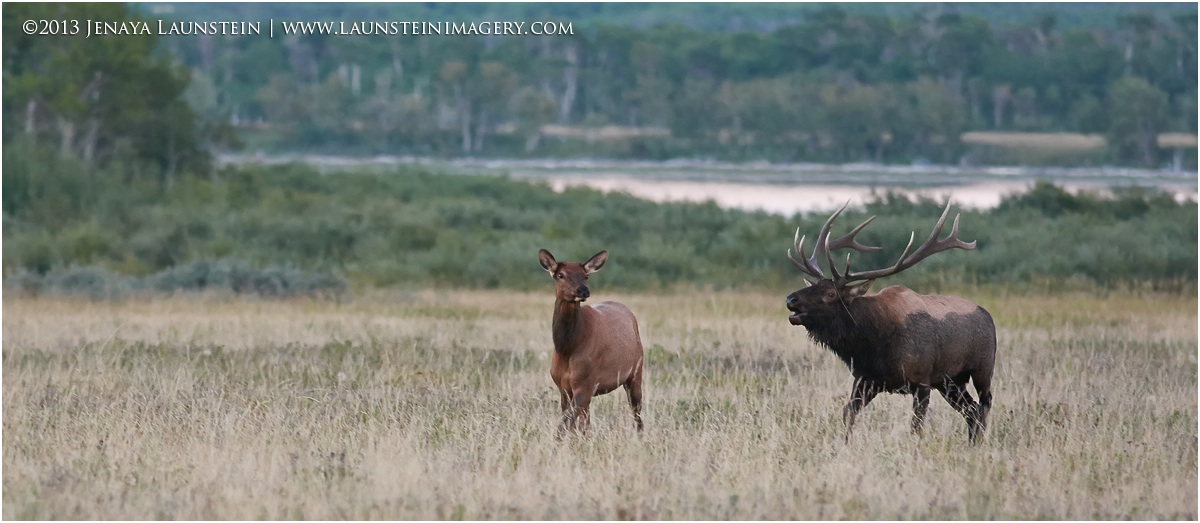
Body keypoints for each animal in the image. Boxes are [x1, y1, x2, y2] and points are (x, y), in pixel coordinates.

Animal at [538, 249, 644, 438]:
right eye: (560, 275)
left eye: (585, 276)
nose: (583, 290)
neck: (567, 349)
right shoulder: (563, 387)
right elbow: (572, 424)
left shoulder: (585, 382)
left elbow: (565, 423)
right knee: (585, 420)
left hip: (636, 371)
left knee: (637, 410)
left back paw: (640, 436)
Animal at [783, 201, 996, 443]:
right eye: (813, 286)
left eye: (830, 294)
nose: (791, 299)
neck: (873, 343)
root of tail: (988, 316)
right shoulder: (866, 379)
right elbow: (848, 413)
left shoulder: (922, 381)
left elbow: (916, 427)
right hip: (950, 381)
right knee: (971, 411)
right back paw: (972, 444)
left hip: (982, 369)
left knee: (984, 405)